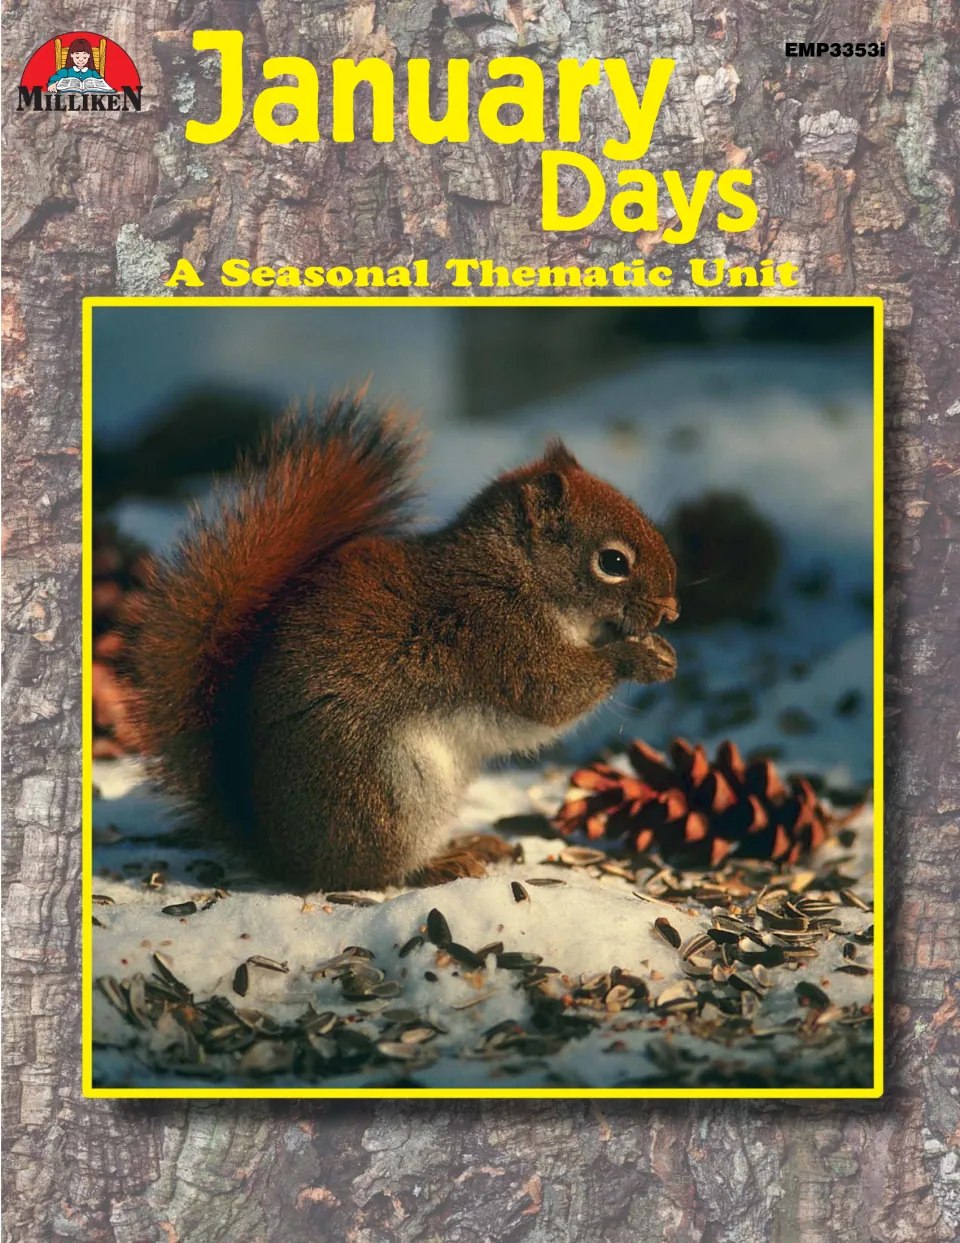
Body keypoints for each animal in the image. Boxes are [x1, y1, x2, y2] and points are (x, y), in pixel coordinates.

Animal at [124, 395, 679, 893]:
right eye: (612, 562)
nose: (671, 611)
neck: (518, 573)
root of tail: (279, 851)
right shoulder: (496, 633)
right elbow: (553, 694)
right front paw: (638, 657)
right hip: (387, 790)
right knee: (375, 871)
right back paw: (440, 863)